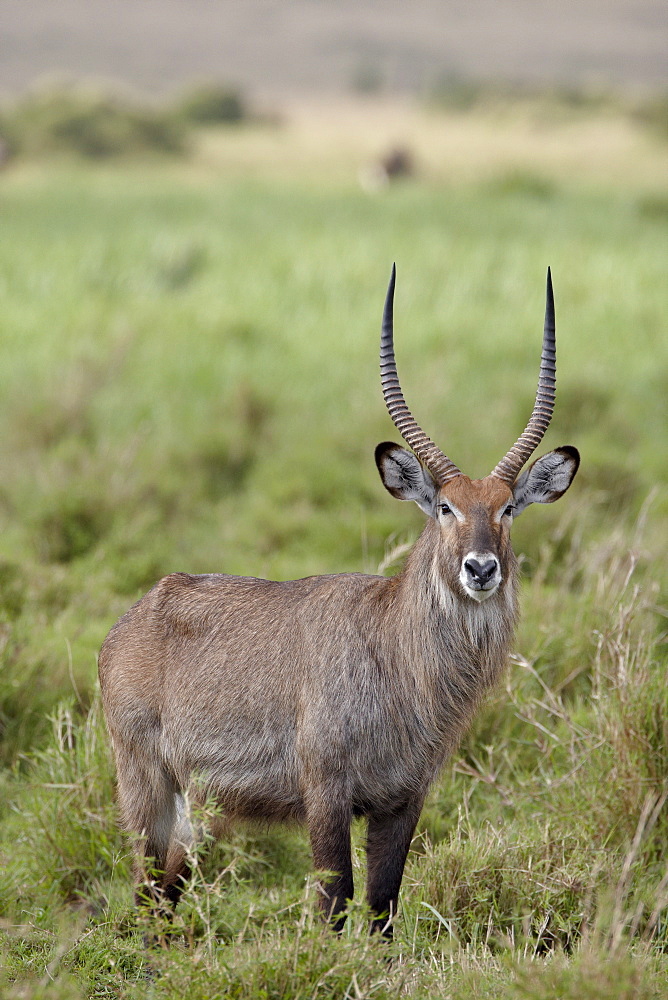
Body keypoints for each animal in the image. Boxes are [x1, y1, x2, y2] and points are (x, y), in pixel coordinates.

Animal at [99, 266, 580, 936]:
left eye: (508, 508)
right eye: (445, 506)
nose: (481, 568)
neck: (396, 653)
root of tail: (140, 611)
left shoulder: (403, 799)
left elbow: (382, 902)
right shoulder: (325, 791)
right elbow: (335, 899)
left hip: (199, 805)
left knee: (170, 881)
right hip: (146, 780)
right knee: (147, 884)